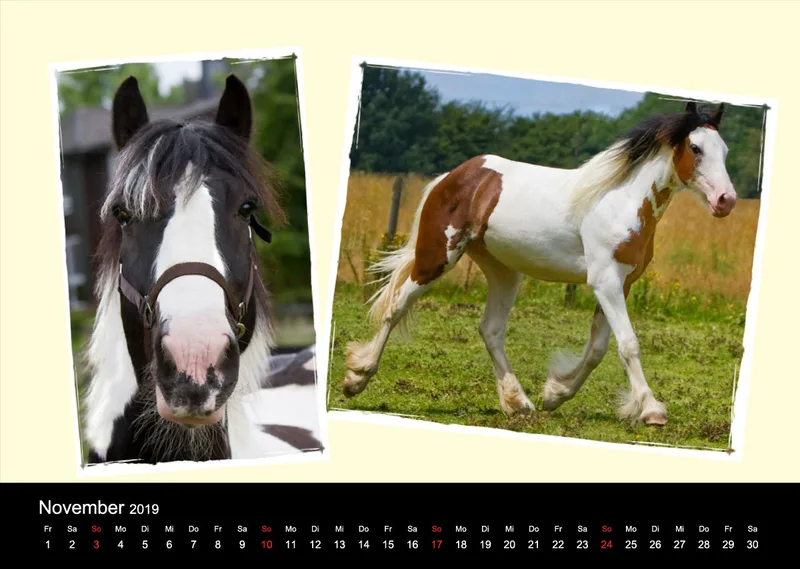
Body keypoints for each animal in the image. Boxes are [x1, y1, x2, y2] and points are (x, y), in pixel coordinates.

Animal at [342, 101, 734, 427]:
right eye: (696, 148)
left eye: (725, 150)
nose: (726, 200)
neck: (619, 200)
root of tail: (453, 177)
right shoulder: (605, 280)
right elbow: (627, 344)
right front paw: (652, 411)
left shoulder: (620, 283)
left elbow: (597, 349)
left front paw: (555, 393)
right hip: (439, 255)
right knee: (396, 306)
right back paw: (357, 378)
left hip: (503, 271)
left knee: (490, 329)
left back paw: (519, 403)